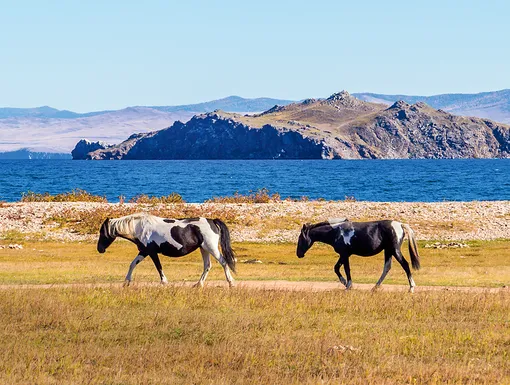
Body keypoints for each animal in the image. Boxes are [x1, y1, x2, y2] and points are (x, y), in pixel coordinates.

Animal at [96, 212, 236, 286]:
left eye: (102, 232)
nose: (100, 249)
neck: (140, 228)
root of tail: (212, 221)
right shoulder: (143, 252)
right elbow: (133, 264)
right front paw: (126, 282)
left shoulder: (151, 252)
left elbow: (158, 267)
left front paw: (164, 281)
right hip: (204, 248)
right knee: (207, 265)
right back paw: (198, 285)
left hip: (211, 248)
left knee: (223, 262)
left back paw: (231, 283)